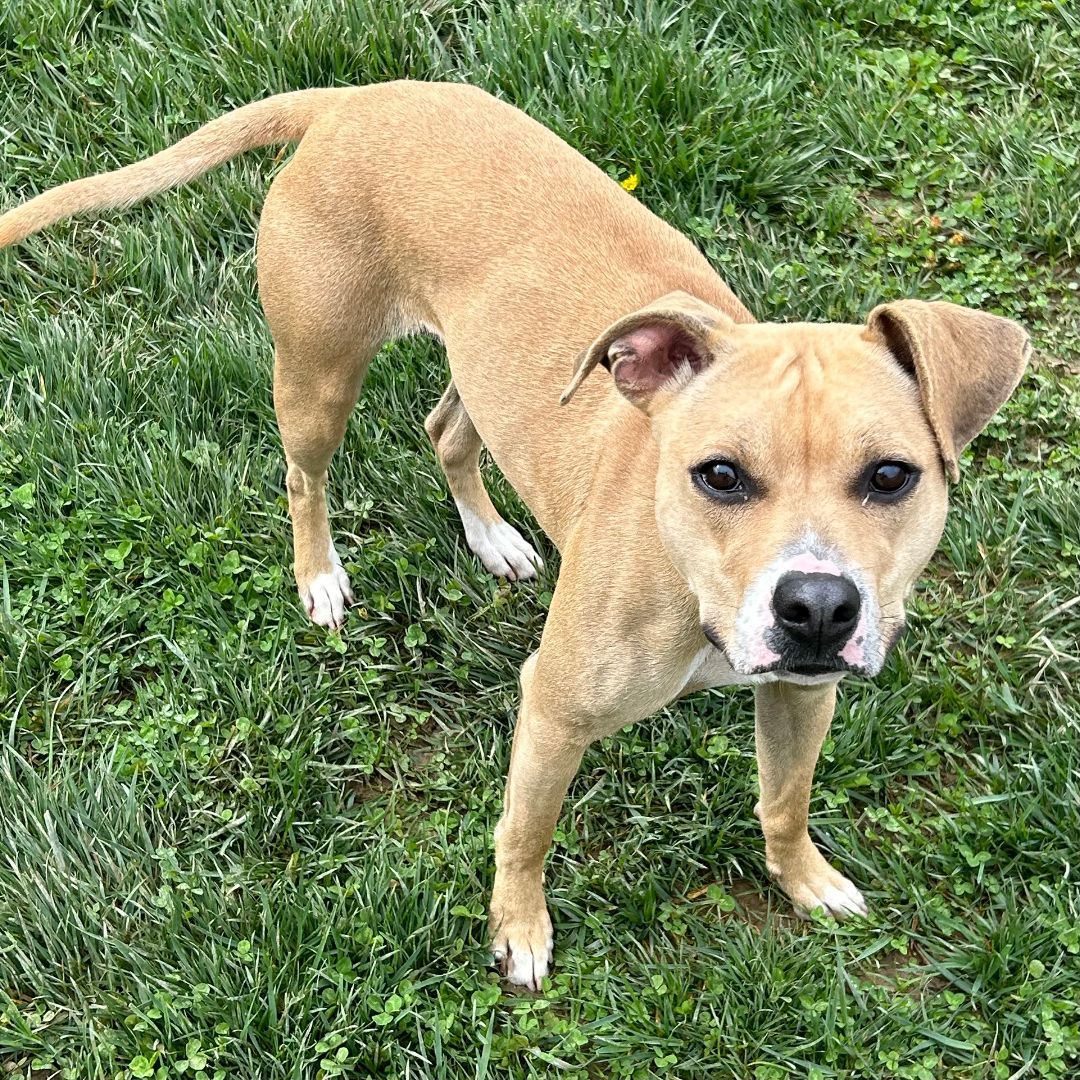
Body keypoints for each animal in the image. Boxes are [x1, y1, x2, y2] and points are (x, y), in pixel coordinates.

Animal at [0, 82, 1028, 989]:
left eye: (891, 476)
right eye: (720, 475)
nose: (816, 608)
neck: (689, 590)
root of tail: (353, 96)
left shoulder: (803, 695)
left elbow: (785, 799)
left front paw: (805, 880)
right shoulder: (557, 708)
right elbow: (526, 831)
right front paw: (518, 931)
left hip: (481, 370)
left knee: (447, 431)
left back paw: (493, 536)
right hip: (319, 374)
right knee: (304, 476)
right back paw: (321, 576)